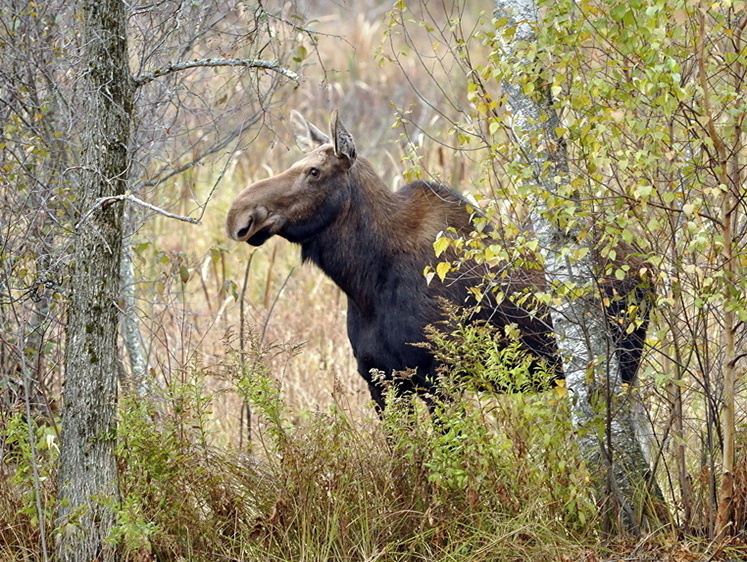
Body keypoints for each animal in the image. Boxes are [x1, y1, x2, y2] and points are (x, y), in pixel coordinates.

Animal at [225, 110, 652, 412]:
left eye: (313, 171)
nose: (238, 215)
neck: (362, 281)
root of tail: (648, 262)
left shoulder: (438, 378)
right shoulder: (379, 381)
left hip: (623, 362)